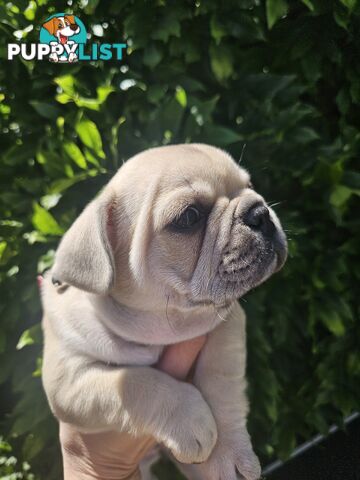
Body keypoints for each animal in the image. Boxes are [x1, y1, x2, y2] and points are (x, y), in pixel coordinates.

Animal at [40, 143, 286, 480]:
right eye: (189, 217)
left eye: (249, 185)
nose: (260, 212)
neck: (159, 328)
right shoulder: (67, 382)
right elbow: (133, 383)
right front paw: (189, 419)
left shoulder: (227, 325)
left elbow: (220, 382)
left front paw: (227, 451)